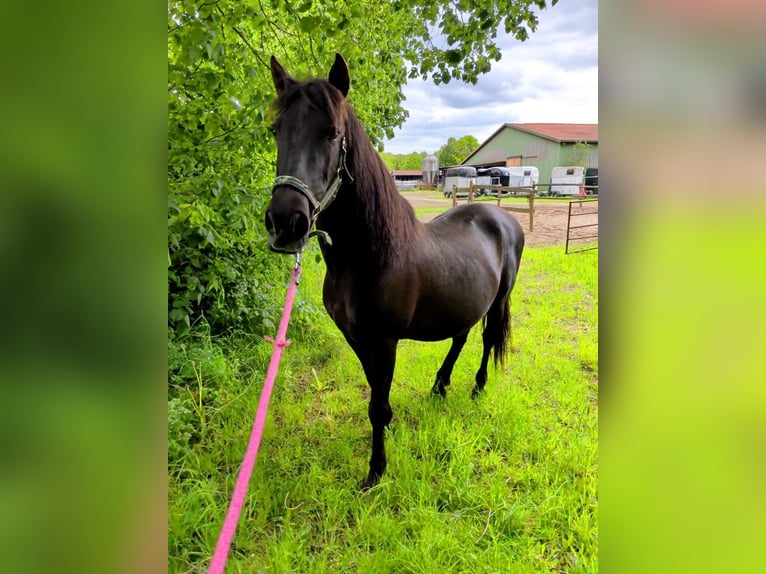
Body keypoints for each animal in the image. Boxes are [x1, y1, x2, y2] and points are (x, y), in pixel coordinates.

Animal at [265, 54, 524, 489]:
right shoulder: (356, 338)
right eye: (275, 131)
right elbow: (376, 393)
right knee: (460, 336)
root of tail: (503, 217)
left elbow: (376, 403)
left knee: (488, 339)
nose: (286, 222)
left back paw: (477, 387)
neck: (369, 256)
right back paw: (439, 386)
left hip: (499, 300)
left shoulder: (385, 340)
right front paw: (386, 432)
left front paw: (376, 470)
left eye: (332, 133)